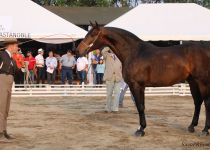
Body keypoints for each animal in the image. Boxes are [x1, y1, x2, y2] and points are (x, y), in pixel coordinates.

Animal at [76, 22, 210, 137]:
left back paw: (205, 130)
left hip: (202, 82)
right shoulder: (141, 86)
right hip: (192, 82)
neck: (134, 52)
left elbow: (140, 106)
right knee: (197, 102)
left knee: (206, 102)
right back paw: (192, 126)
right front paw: (142, 128)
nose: (77, 50)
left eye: (92, 34)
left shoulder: (135, 85)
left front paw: (140, 130)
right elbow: (142, 106)